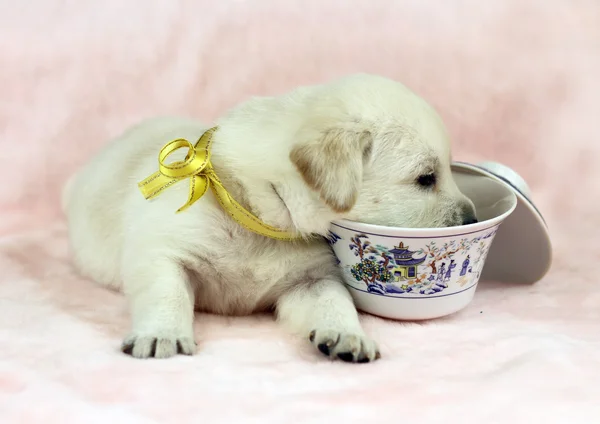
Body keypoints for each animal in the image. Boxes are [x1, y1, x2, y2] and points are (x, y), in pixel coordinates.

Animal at [63, 73, 476, 362]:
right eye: (426, 178)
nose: (471, 215)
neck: (258, 212)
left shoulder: (312, 279)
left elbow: (335, 302)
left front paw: (349, 335)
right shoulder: (161, 251)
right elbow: (167, 293)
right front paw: (161, 335)